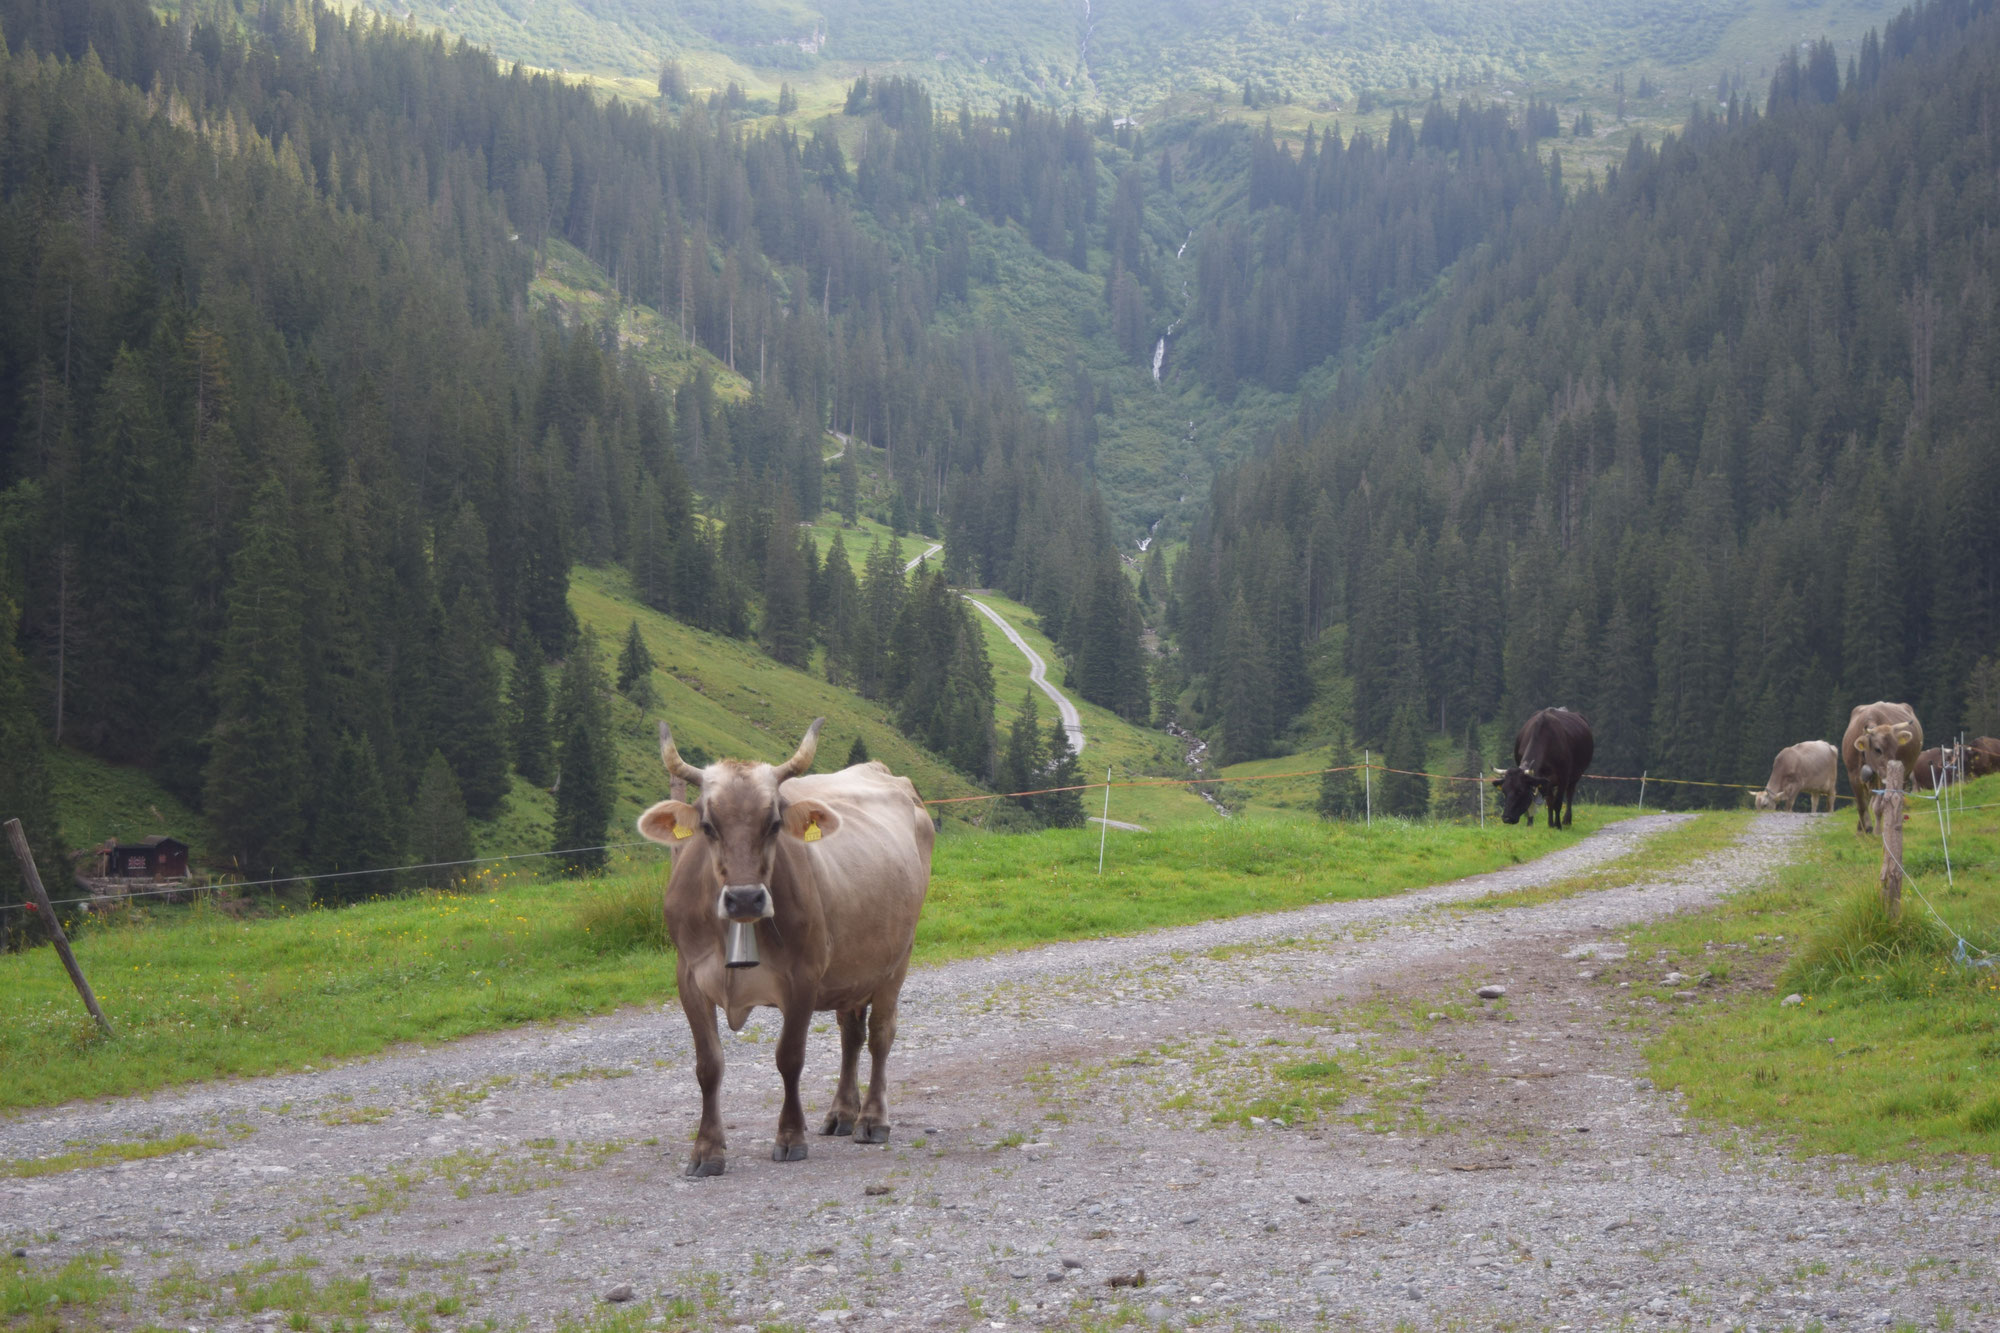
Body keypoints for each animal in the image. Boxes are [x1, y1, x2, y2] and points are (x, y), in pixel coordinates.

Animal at [640, 716, 936, 1176]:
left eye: (774, 823)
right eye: (708, 826)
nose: (745, 898)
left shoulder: (803, 977)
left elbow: (789, 1058)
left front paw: (791, 1137)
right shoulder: (689, 977)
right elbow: (708, 1065)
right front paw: (707, 1149)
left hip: (896, 957)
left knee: (880, 1035)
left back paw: (871, 1119)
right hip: (849, 969)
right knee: (851, 1035)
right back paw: (841, 1113)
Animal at [1840, 696, 1920, 832]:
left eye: (1896, 748)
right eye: (1878, 749)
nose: (1891, 769)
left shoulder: (1883, 779)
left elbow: (1878, 807)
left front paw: (1876, 831)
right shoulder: (1853, 775)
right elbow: (1862, 805)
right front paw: (1863, 830)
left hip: (1904, 773)